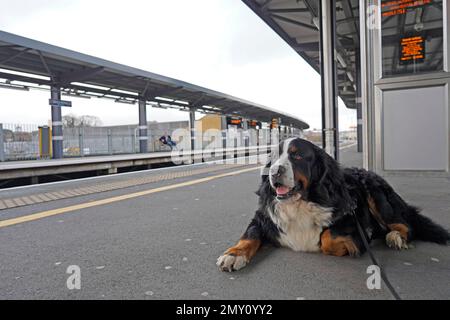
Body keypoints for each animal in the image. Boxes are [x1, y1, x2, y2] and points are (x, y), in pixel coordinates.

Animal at [216, 138, 448, 272]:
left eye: (297, 155)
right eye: (273, 158)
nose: (273, 172)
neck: (301, 202)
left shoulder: (352, 218)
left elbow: (327, 237)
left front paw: (358, 241)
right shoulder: (263, 217)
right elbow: (249, 235)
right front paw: (233, 254)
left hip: (376, 194)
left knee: (407, 225)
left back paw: (395, 237)